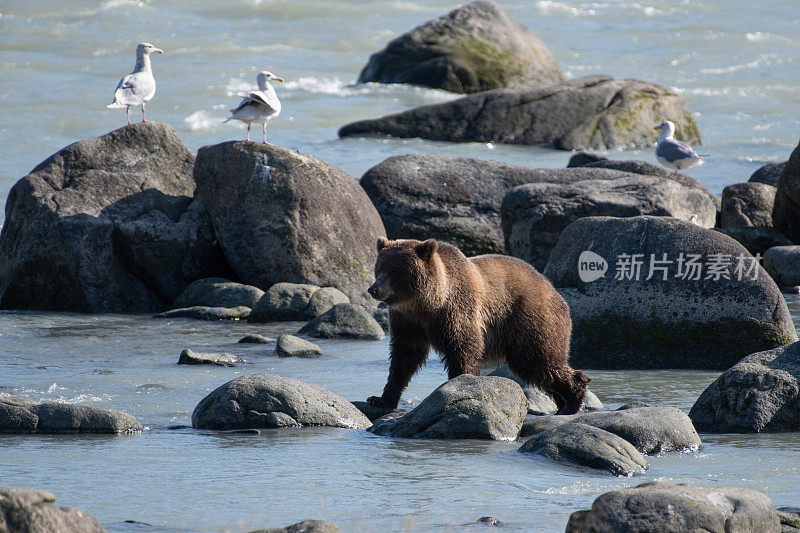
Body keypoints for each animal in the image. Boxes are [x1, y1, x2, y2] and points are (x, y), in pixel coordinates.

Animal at [368, 237, 588, 416]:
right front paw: (381, 399)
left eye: (395, 271)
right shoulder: (407, 322)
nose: (373, 289)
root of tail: (556, 292)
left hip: (530, 320)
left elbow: (463, 349)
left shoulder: (456, 311)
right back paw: (563, 403)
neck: (426, 304)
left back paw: (573, 398)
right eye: (379, 269)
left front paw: (461, 386)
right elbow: (404, 358)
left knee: (540, 360)